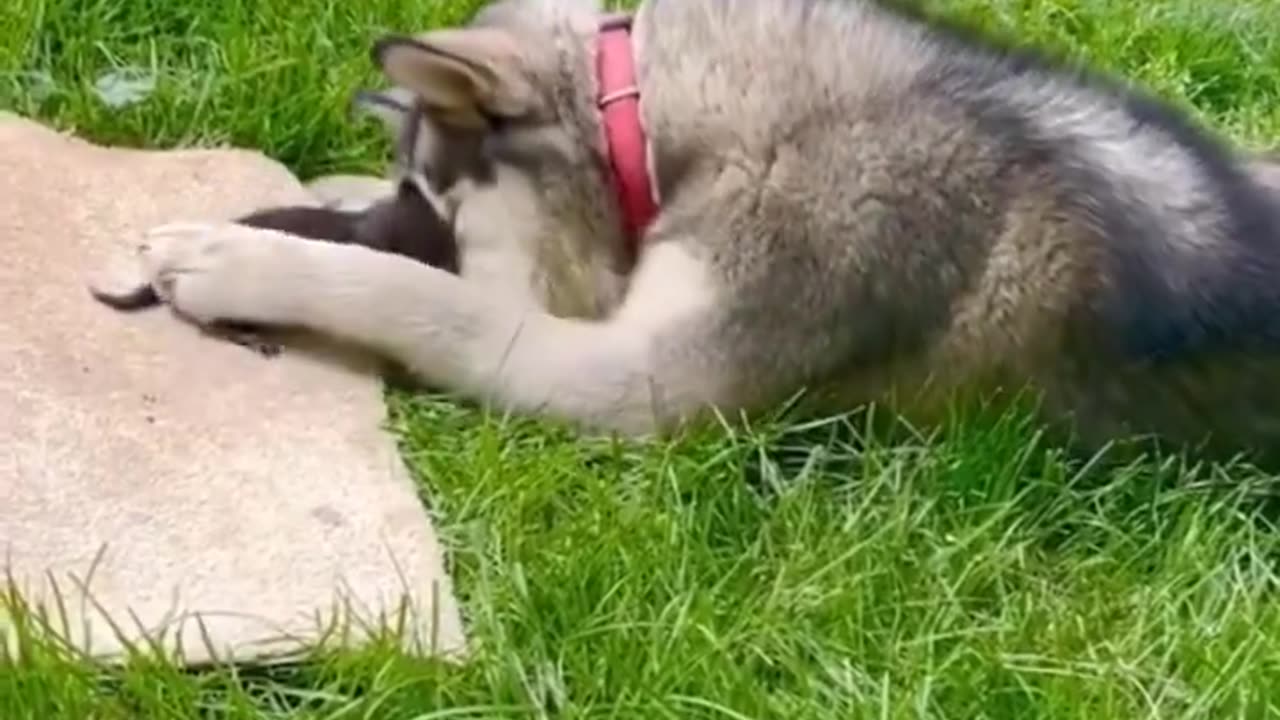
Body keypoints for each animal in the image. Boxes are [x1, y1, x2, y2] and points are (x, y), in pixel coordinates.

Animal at [104, 0, 1280, 458]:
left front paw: (241, 257)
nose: (382, 209)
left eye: (440, 205)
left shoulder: (643, 383)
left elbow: (434, 304)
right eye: (412, 190)